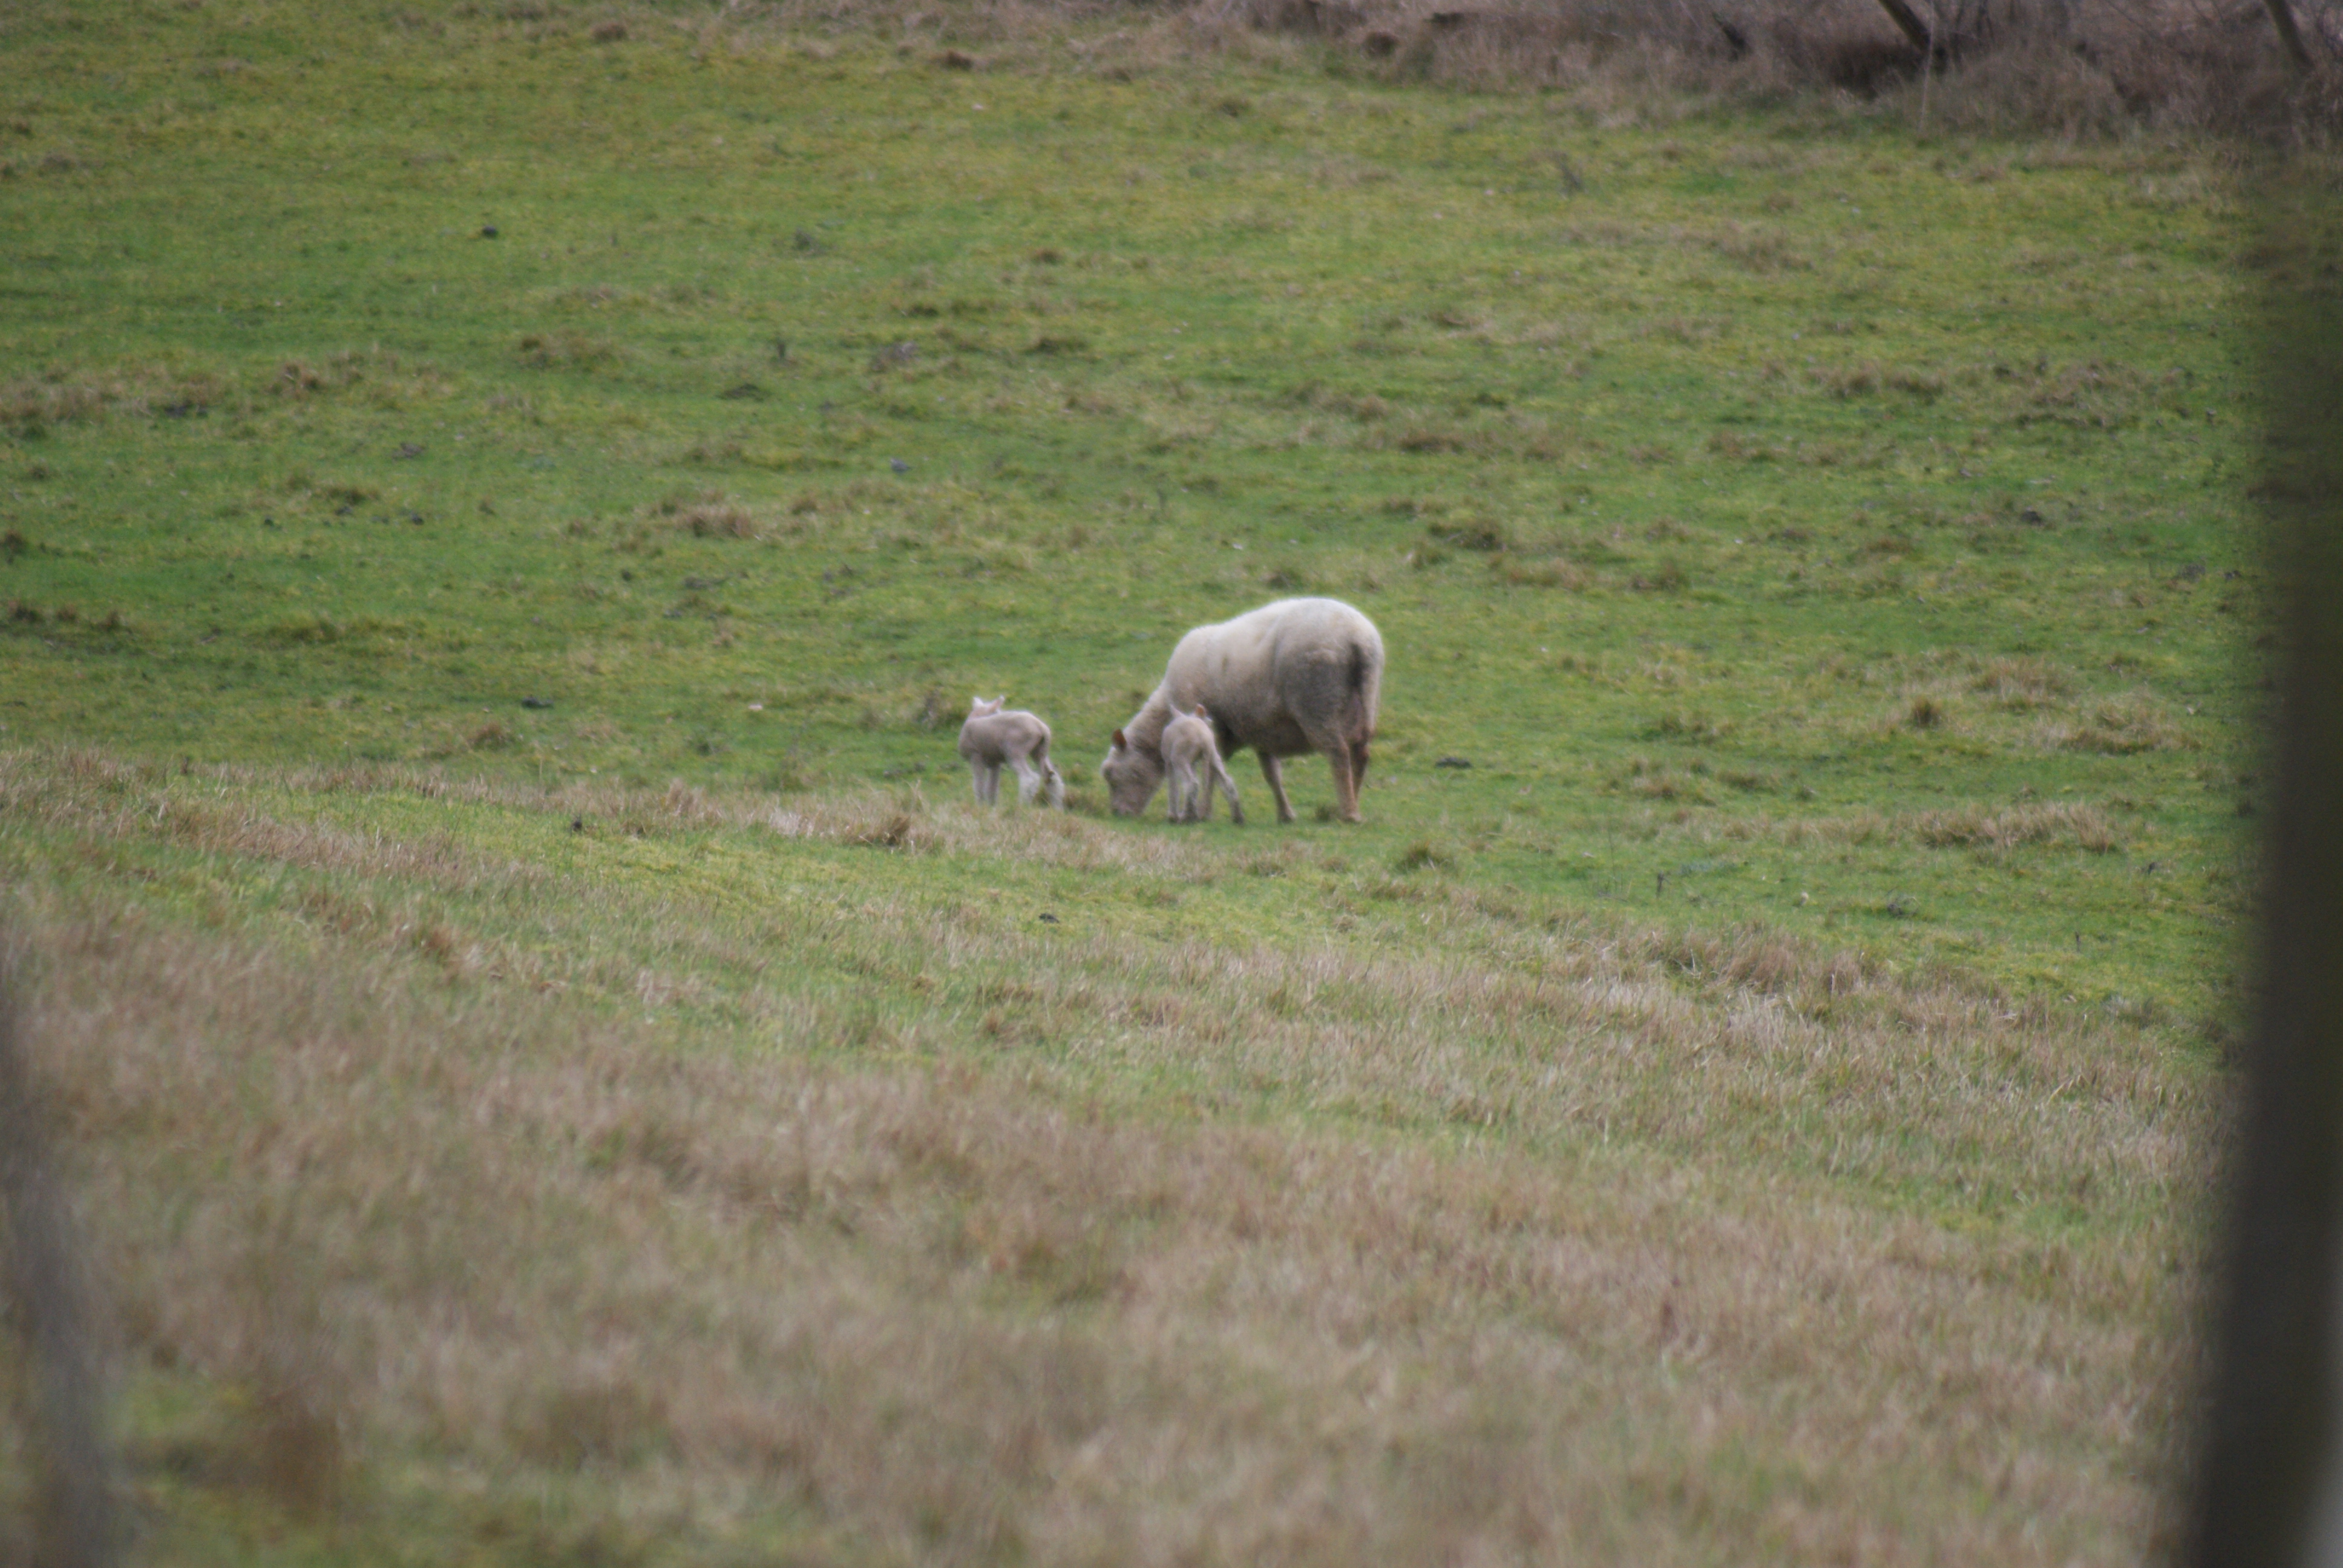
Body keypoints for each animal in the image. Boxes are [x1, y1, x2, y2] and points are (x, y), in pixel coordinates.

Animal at [955, 698, 1068, 806]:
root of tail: (1041, 728)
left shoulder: (976, 757)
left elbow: (979, 786)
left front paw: (980, 807)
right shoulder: (995, 762)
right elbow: (992, 788)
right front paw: (991, 807)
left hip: (1015, 751)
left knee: (1029, 778)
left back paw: (1022, 805)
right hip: (1040, 752)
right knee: (1052, 778)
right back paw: (1056, 807)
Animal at [1157, 703, 1246, 825]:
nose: (1211, 721)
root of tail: (1203, 739)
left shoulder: (1168, 762)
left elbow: (1173, 788)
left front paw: (1172, 816)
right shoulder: (1193, 762)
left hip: (1179, 757)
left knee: (1192, 784)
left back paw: (1187, 817)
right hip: (1213, 756)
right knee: (1227, 783)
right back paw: (1238, 817)